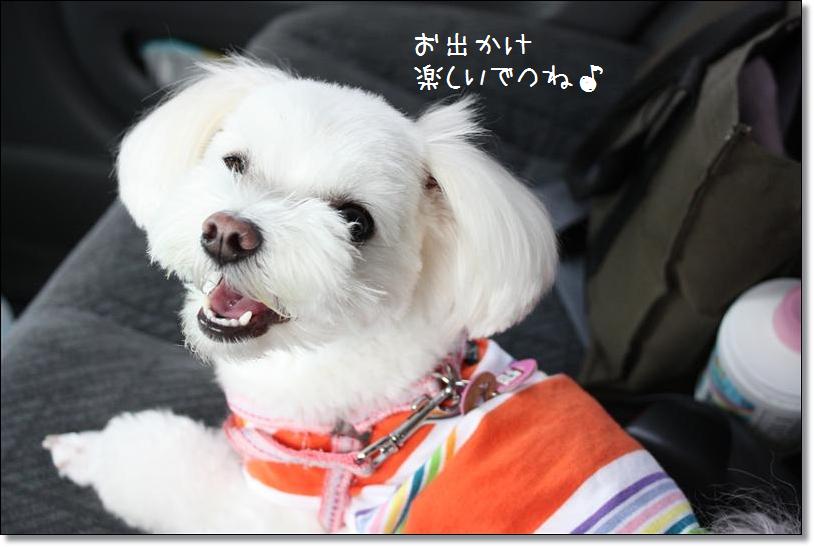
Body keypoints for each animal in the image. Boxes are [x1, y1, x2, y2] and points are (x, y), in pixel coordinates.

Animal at [43, 59, 782, 534]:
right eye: (234, 163)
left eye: (355, 220)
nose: (228, 233)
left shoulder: (274, 503)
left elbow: (164, 466)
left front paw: (85, 451)